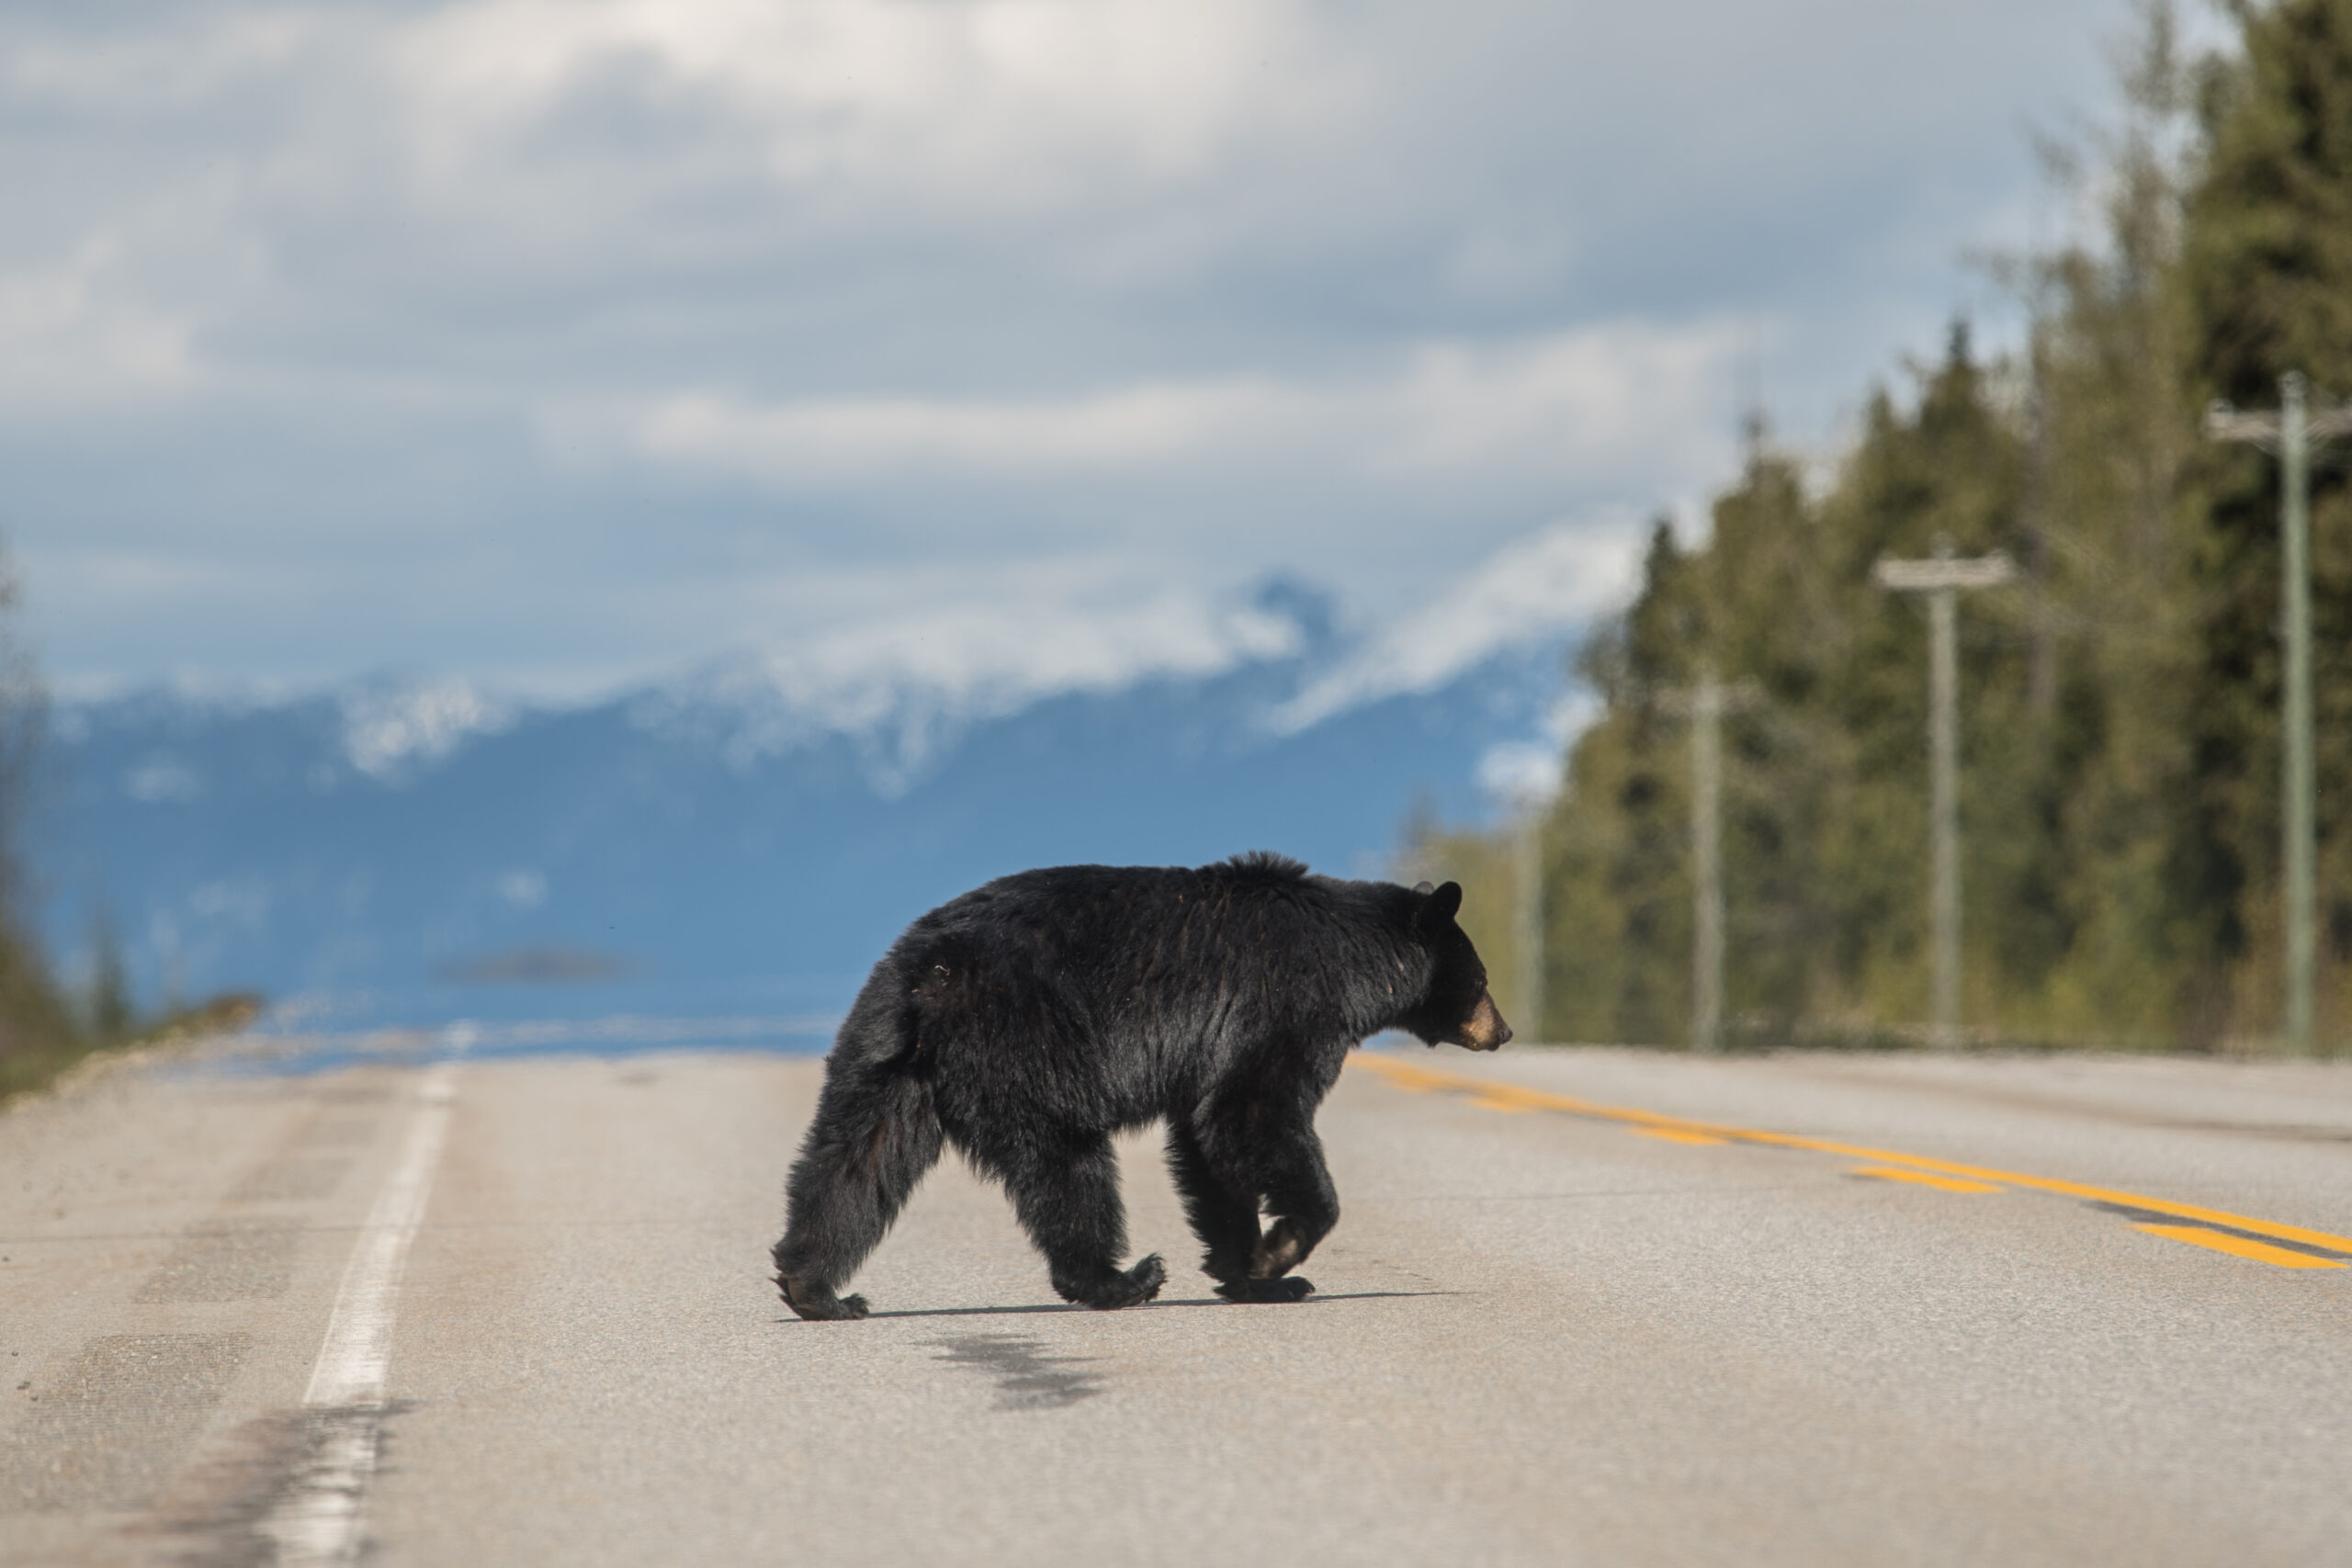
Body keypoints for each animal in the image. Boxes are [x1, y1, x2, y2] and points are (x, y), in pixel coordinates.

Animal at [766, 851, 1505, 1316]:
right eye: (1482, 977)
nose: (1504, 1030)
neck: (1351, 959)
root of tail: (929, 974)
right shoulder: (1282, 1006)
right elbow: (1252, 1114)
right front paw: (1282, 1252)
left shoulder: (1215, 1050)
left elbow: (1209, 1148)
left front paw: (1255, 1276)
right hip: (1030, 1042)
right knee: (1067, 1164)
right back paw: (1120, 1279)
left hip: (886, 1058)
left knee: (854, 1157)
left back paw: (817, 1290)